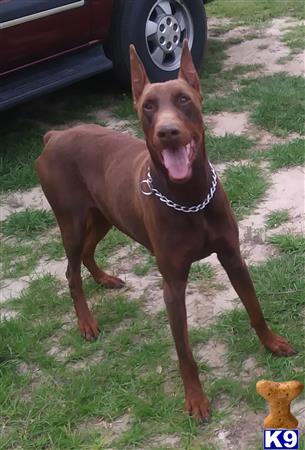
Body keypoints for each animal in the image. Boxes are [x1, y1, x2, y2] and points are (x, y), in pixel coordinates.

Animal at [36, 40, 294, 420]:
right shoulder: (172, 285)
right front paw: (196, 399)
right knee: (71, 271)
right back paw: (86, 321)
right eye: (148, 106)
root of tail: (54, 136)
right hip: (71, 221)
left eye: (184, 99)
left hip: (104, 216)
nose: (167, 131)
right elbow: (184, 352)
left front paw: (272, 343)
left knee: (86, 253)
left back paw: (105, 278)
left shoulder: (233, 257)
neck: (191, 199)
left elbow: (254, 308)